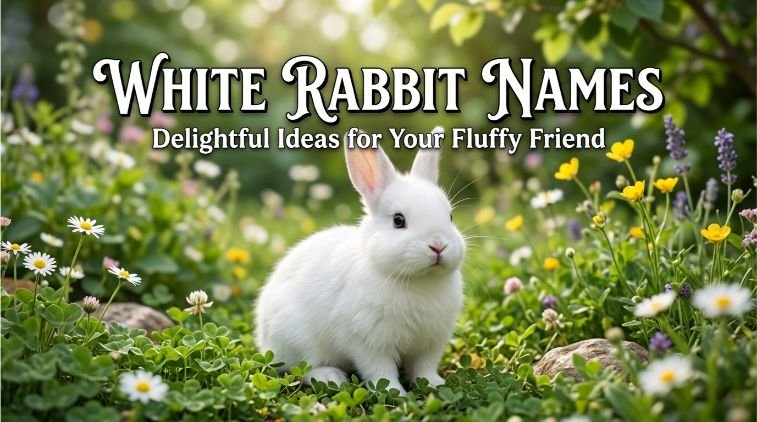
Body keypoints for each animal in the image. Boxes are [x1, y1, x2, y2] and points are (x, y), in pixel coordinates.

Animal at [254, 131, 465, 395]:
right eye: (398, 220)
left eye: (450, 216)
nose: (438, 245)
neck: (418, 281)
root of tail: (262, 339)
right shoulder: (368, 343)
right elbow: (381, 371)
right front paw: (396, 393)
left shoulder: (429, 344)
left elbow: (423, 369)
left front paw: (436, 385)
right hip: (296, 339)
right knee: (298, 369)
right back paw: (330, 377)